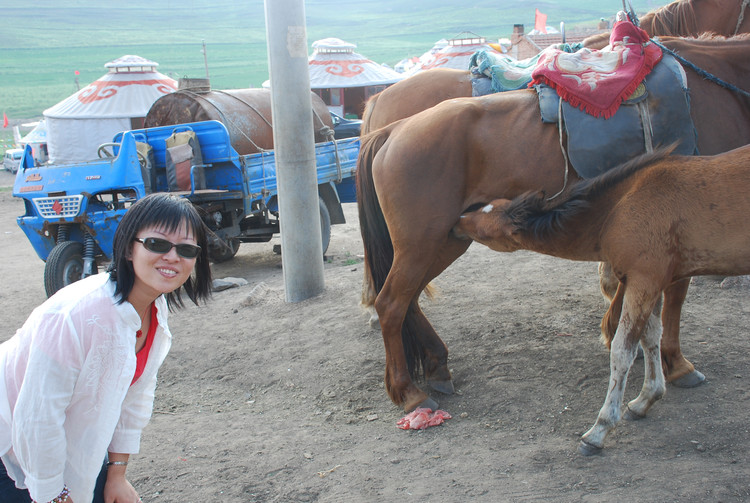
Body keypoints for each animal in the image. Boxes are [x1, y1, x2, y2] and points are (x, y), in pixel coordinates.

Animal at [356, 34, 750, 414]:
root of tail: (393, 130)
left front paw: (619, 334)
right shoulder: (685, 223)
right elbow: (675, 297)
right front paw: (676, 363)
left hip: (446, 240)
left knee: (407, 301)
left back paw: (436, 365)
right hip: (422, 244)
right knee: (390, 304)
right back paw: (409, 392)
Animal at [452, 144, 750, 454]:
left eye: (484, 230)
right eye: (484, 207)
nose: (456, 221)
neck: (619, 209)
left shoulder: (643, 281)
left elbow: (622, 350)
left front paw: (599, 429)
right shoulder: (651, 282)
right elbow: (651, 337)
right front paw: (646, 398)